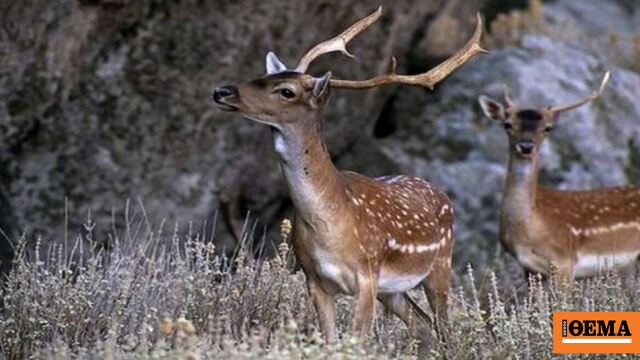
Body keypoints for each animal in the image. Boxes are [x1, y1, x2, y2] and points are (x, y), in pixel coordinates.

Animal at [212, 7, 488, 356]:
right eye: (262, 76)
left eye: (286, 91)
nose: (221, 91)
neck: (328, 224)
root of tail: (441, 193)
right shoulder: (314, 279)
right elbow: (329, 342)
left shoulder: (366, 276)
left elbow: (358, 342)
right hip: (392, 289)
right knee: (422, 325)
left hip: (440, 264)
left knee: (444, 329)